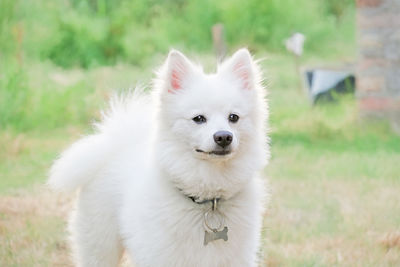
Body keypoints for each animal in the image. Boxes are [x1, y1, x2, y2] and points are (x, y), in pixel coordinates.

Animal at [48, 48, 270, 267]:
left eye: (233, 117)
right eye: (199, 119)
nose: (224, 136)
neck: (209, 199)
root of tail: (117, 144)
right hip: (100, 246)